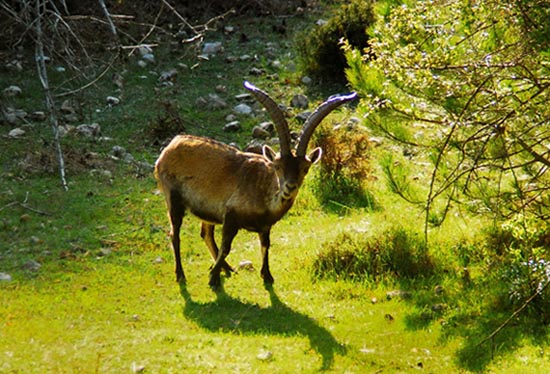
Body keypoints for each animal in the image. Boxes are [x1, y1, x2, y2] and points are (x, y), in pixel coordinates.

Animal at [154, 80, 358, 288]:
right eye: (277, 166)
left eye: (305, 168)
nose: (290, 187)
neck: (264, 194)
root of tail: (170, 146)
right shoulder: (230, 216)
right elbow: (227, 246)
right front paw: (212, 279)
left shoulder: (265, 226)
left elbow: (265, 245)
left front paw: (267, 275)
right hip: (173, 198)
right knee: (175, 234)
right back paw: (182, 274)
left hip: (206, 211)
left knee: (206, 233)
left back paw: (226, 269)